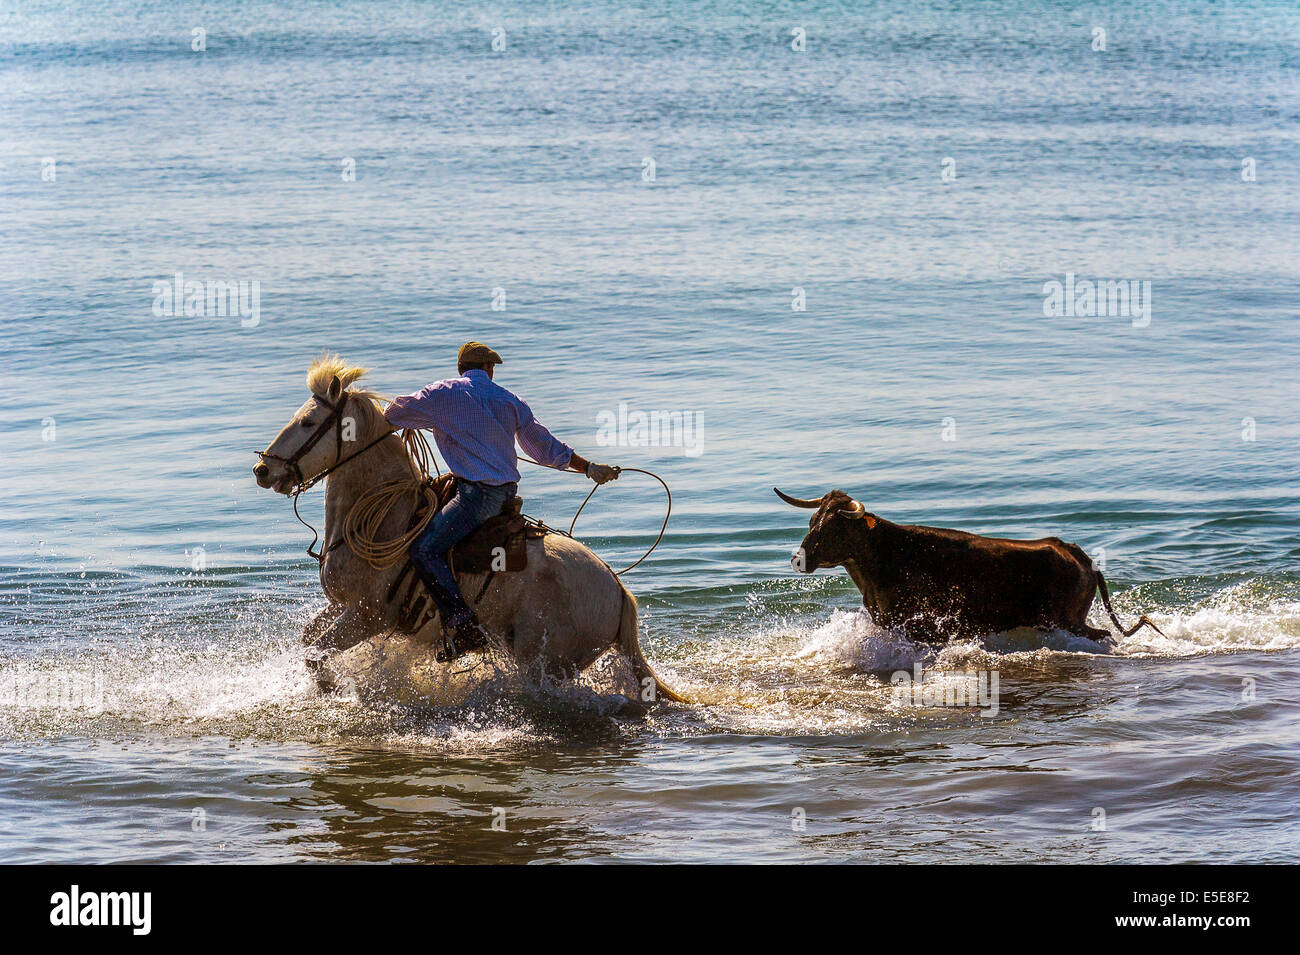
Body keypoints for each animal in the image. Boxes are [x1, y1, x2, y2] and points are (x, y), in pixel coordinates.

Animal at [248, 356, 686, 706]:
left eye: (307, 422)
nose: (263, 470)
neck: (389, 518)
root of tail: (618, 591)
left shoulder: (367, 616)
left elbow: (315, 654)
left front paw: (336, 689)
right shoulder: (343, 606)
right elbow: (308, 642)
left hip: (546, 662)